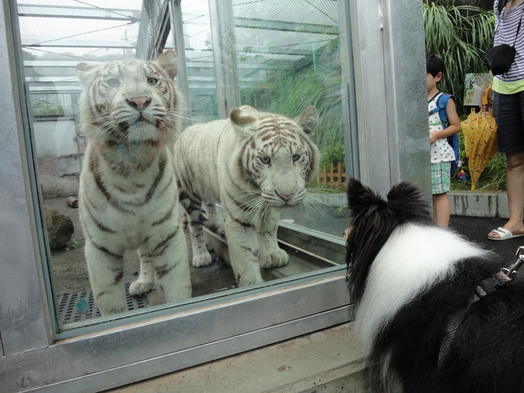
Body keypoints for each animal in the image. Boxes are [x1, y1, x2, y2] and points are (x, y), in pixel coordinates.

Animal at [77, 49, 191, 316]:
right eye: (113, 82)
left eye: (152, 81)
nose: (139, 101)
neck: (132, 166)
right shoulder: (99, 247)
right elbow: (111, 305)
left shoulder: (166, 234)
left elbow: (179, 291)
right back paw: (144, 282)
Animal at [175, 105, 320, 286]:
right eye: (265, 159)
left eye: (296, 157)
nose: (287, 196)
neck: (258, 191)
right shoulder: (238, 217)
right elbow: (244, 257)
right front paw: (251, 283)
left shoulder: (270, 206)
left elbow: (269, 228)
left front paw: (271, 254)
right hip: (190, 193)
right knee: (194, 224)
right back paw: (201, 255)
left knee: (209, 206)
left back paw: (218, 226)